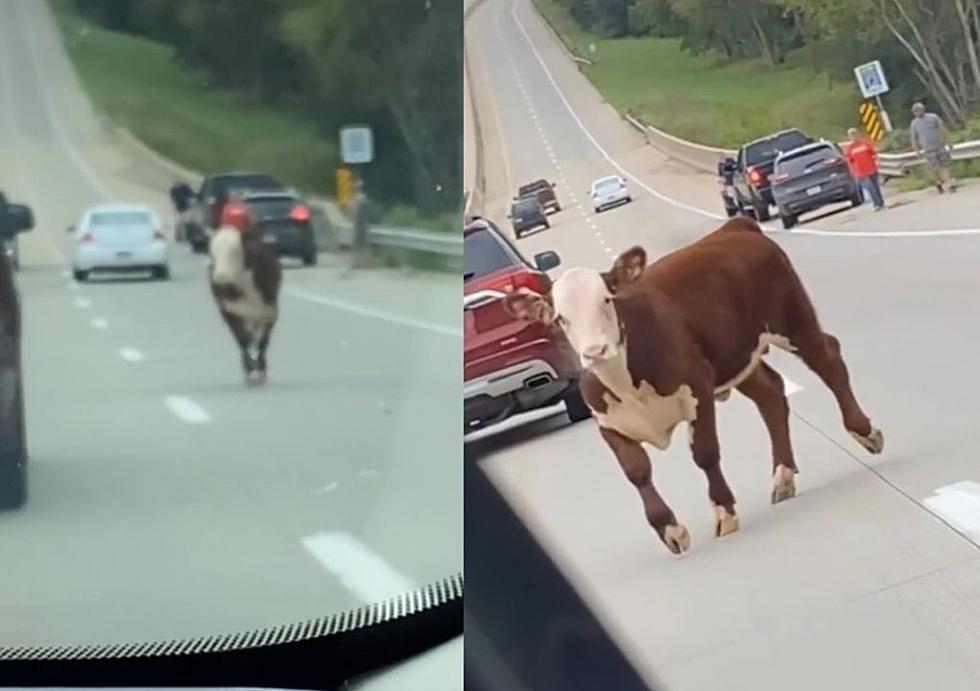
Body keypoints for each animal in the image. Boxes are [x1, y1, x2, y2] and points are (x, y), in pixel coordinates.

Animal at [209, 200, 282, 386]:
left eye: (235, 250)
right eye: (212, 252)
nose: (219, 277)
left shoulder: (270, 311)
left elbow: (263, 342)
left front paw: (261, 368)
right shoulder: (229, 312)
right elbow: (243, 340)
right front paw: (249, 368)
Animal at [506, 218, 880, 556]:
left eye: (607, 300)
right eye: (560, 318)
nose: (594, 351)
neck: (628, 382)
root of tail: (734, 227)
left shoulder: (697, 388)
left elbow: (705, 452)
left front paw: (724, 512)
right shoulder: (608, 423)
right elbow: (637, 473)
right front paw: (670, 530)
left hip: (792, 319)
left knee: (828, 357)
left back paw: (865, 431)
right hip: (737, 356)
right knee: (771, 393)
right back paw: (783, 477)